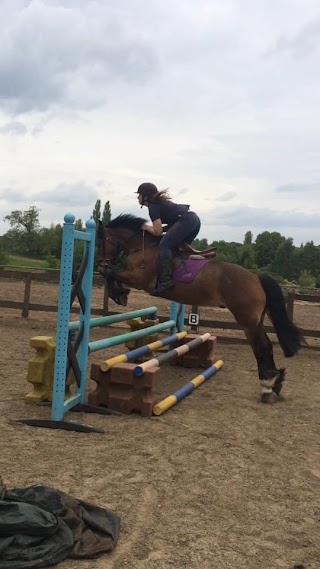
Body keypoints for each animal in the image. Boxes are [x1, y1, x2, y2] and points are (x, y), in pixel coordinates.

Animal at [96, 212, 304, 400]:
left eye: (99, 243)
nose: (98, 262)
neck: (141, 247)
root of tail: (256, 277)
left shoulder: (139, 279)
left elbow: (110, 273)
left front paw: (119, 294)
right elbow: (111, 272)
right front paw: (120, 293)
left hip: (247, 321)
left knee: (260, 347)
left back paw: (266, 387)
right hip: (256, 321)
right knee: (266, 346)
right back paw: (274, 384)